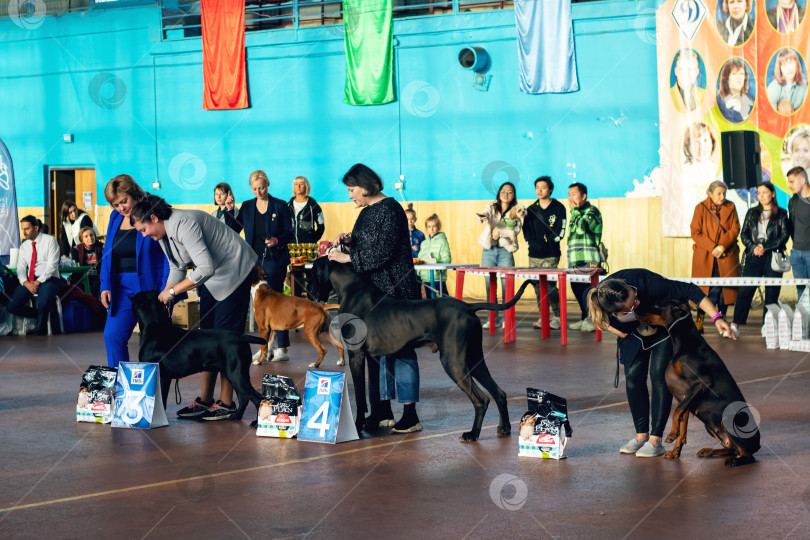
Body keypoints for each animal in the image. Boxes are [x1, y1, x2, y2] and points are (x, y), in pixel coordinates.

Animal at [129, 288, 262, 424]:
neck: (154, 328)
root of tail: (241, 336)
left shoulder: (160, 375)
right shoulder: (166, 378)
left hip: (236, 375)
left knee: (257, 398)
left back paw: (255, 423)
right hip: (235, 375)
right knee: (244, 398)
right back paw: (236, 416)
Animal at [308, 258, 532, 442]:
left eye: (312, 274)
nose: (309, 293)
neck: (352, 290)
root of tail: (468, 307)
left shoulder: (356, 356)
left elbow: (361, 397)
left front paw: (356, 427)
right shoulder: (372, 358)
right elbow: (373, 393)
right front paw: (371, 423)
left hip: (453, 362)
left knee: (481, 399)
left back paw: (473, 434)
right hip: (474, 359)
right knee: (499, 393)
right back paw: (504, 428)